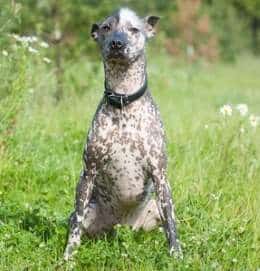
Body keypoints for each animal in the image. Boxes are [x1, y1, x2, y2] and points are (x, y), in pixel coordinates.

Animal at [64, 6, 181, 262]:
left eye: (134, 29)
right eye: (106, 28)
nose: (117, 43)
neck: (123, 100)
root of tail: (122, 226)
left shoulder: (160, 175)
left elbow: (171, 226)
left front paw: (177, 255)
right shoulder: (88, 174)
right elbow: (75, 227)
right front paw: (67, 256)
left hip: (154, 208)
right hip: (90, 213)